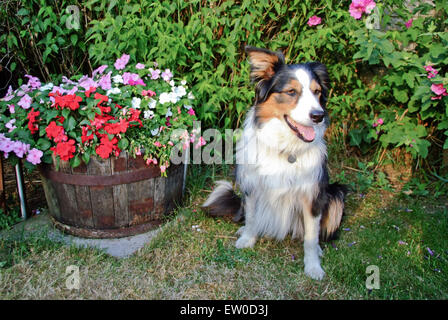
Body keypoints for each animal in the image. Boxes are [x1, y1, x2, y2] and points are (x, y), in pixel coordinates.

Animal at [203, 46, 346, 278]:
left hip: (336, 194)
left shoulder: (312, 194)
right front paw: (247, 239)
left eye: (317, 92)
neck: (286, 148)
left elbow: (311, 237)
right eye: (291, 92)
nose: (319, 116)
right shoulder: (252, 185)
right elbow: (252, 217)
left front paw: (313, 266)